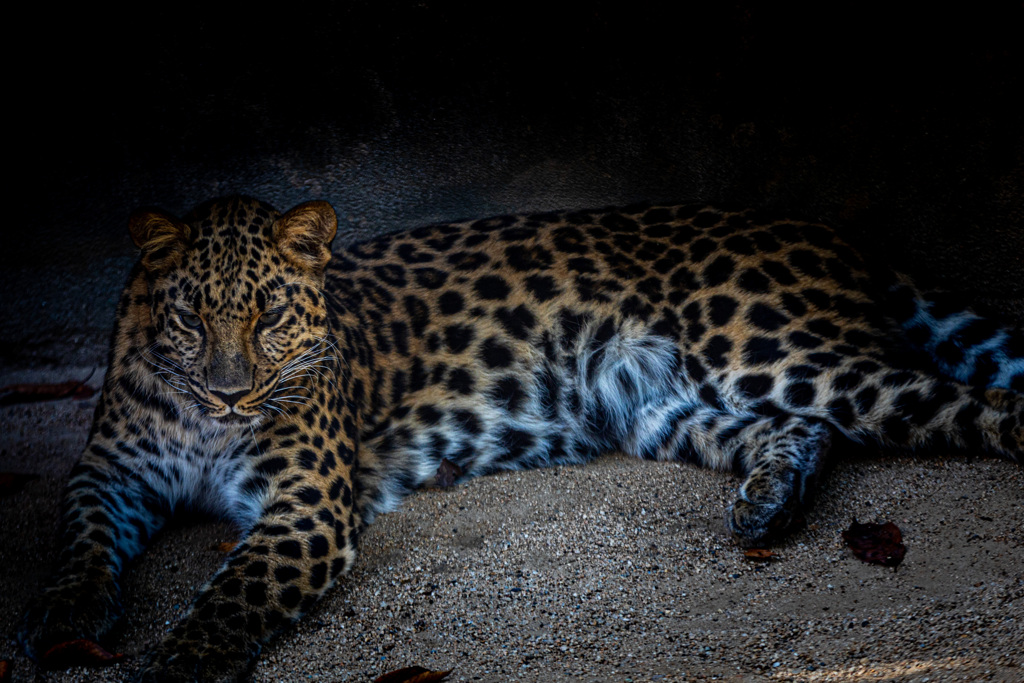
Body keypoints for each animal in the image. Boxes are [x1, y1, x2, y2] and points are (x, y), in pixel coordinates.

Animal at [16, 194, 1024, 679]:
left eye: (269, 314)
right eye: (190, 316)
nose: (230, 397)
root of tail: (828, 232)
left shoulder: (302, 504)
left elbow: (240, 587)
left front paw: (186, 658)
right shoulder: (107, 471)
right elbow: (79, 538)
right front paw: (68, 617)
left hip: (770, 351)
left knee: (964, 401)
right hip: (658, 403)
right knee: (804, 430)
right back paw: (767, 505)